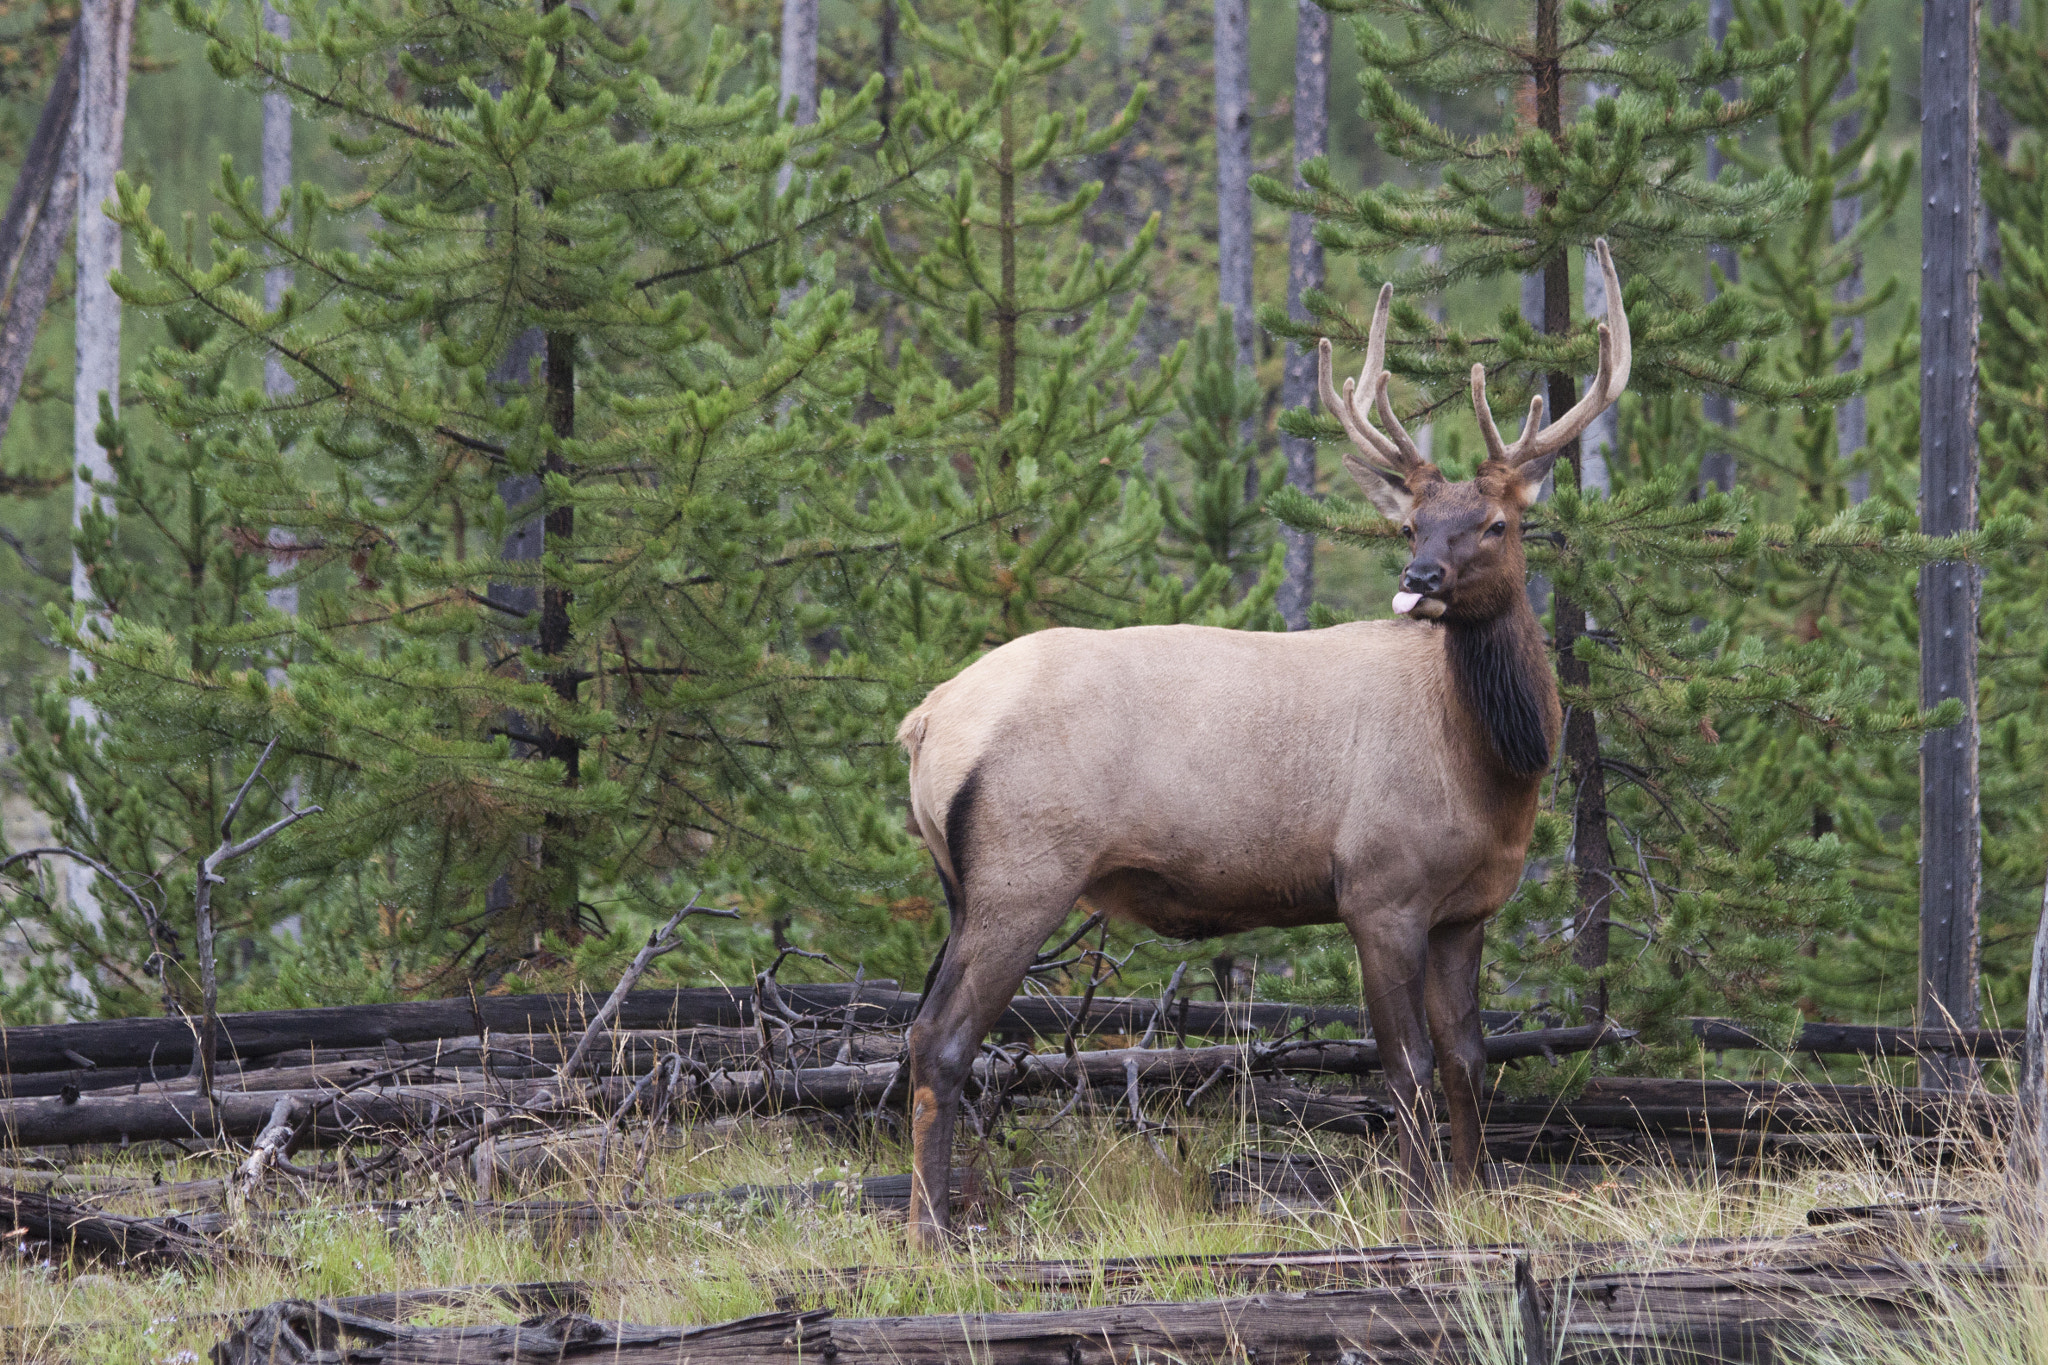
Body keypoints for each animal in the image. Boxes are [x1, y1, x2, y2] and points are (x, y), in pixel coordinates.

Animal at [893, 240, 1631, 1248]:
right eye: (1411, 522)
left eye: (1496, 522)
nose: (1419, 577)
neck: (1495, 769)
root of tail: (925, 722)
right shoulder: (1379, 889)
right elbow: (1403, 1065)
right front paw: (1415, 1212)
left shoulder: (1467, 907)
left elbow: (1468, 1060)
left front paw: (1471, 1200)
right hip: (1023, 870)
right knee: (942, 1039)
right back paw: (933, 1230)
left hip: (959, 883)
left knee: (917, 1029)